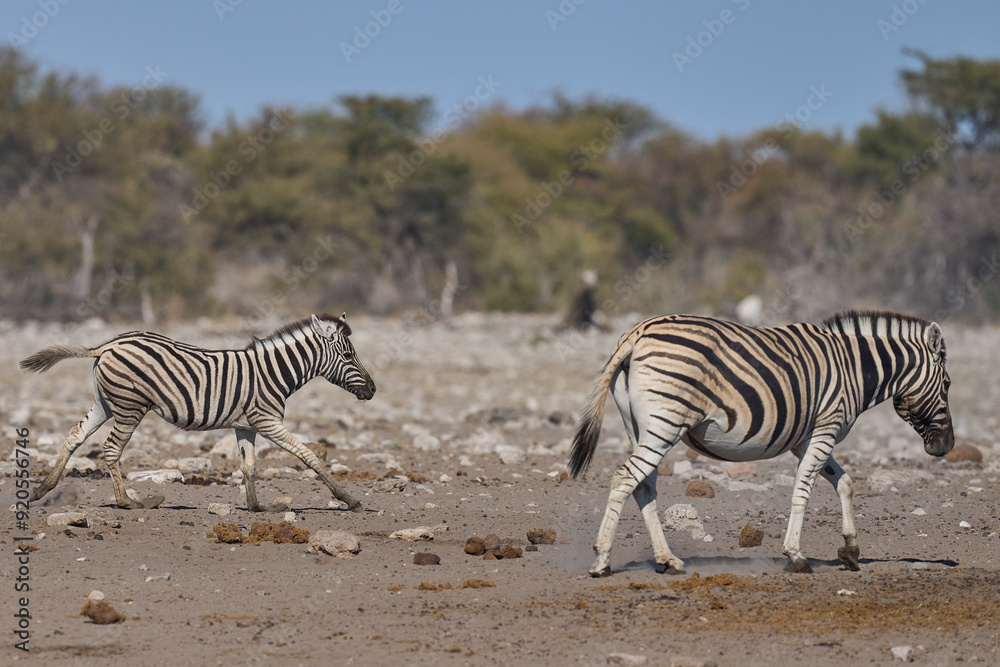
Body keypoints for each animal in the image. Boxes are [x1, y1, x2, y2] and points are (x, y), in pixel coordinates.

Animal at [20, 313, 376, 513]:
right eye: (347, 356)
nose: (373, 390)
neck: (273, 373)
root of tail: (108, 345)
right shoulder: (267, 420)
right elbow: (308, 455)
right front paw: (349, 499)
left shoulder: (246, 425)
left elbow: (248, 466)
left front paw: (257, 507)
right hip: (130, 407)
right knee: (110, 449)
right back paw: (128, 502)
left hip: (106, 403)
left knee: (75, 435)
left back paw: (41, 489)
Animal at [568, 310, 954, 576]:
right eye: (948, 384)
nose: (946, 446)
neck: (854, 369)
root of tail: (637, 332)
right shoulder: (825, 428)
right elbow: (804, 488)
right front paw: (796, 555)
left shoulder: (807, 438)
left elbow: (844, 483)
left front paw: (851, 550)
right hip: (666, 422)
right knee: (625, 478)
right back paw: (602, 560)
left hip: (640, 427)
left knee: (643, 486)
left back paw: (667, 559)